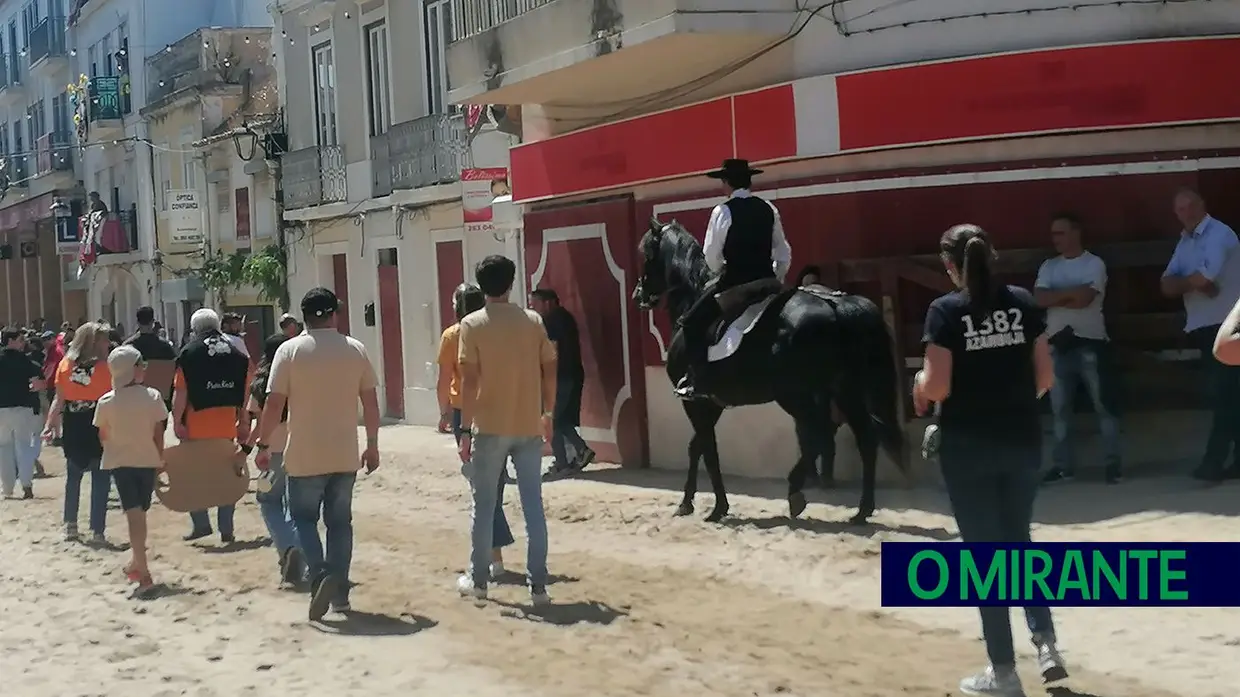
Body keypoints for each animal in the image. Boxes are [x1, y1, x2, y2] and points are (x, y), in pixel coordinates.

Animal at [634, 215, 907, 520]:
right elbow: (698, 447)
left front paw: (715, 507)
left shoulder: (695, 401)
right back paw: (861, 511)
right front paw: (689, 502)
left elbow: (707, 448)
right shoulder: (712, 403)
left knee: (821, 433)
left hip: (796, 394)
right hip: (845, 390)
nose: (639, 294)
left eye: (647, 254)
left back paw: (797, 492)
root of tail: (837, 305)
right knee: (864, 438)